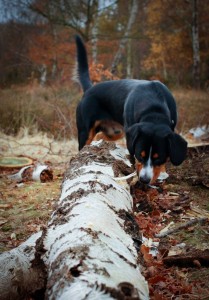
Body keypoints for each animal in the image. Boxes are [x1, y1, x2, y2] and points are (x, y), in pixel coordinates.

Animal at [75, 35, 188, 185]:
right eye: (140, 154)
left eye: (158, 157)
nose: (144, 180)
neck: (153, 107)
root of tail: (89, 89)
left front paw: (162, 173)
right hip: (85, 131)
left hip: (115, 132)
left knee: (103, 138)